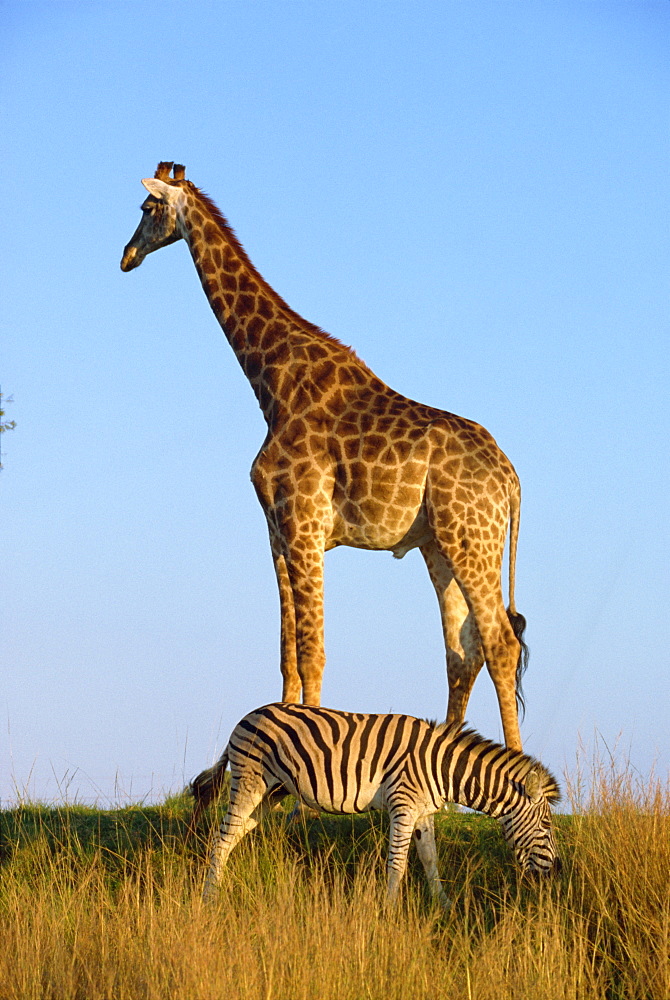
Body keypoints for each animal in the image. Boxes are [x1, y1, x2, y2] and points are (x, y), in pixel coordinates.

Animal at [119, 160, 532, 748]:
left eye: (147, 208)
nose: (126, 255)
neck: (272, 381)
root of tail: (511, 478)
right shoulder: (277, 532)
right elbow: (288, 654)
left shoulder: (306, 523)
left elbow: (313, 651)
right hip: (440, 547)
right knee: (461, 651)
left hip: (470, 537)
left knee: (500, 643)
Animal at [192, 704, 564, 908]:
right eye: (547, 825)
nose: (558, 871)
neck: (441, 766)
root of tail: (247, 716)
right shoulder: (403, 806)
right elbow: (396, 865)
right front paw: (389, 912)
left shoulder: (423, 813)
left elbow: (430, 860)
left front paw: (443, 906)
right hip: (250, 782)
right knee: (221, 838)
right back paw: (210, 897)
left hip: (272, 792)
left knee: (234, 834)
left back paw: (222, 885)